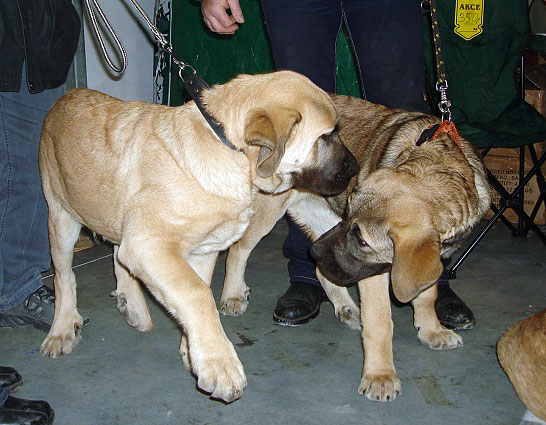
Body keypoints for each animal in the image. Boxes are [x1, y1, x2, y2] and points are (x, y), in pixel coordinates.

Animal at [40, 71, 360, 402]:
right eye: (326, 136)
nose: (356, 168)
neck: (229, 148)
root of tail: (65, 98)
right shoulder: (148, 245)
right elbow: (197, 294)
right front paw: (219, 363)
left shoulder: (201, 251)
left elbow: (195, 291)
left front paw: (192, 349)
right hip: (61, 215)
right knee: (64, 277)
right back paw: (62, 329)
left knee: (117, 253)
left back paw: (134, 307)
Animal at [221, 93, 488, 400]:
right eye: (349, 213)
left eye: (361, 239)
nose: (314, 252)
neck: (440, 169)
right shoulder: (372, 272)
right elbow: (380, 322)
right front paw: (380, 375)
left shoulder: (430, 260)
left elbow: (426, 295)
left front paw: (432, 330)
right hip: (272, 209)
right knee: (238, 250)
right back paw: (233, 295)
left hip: (323, 221)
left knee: (321, 270)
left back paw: (346, 307)